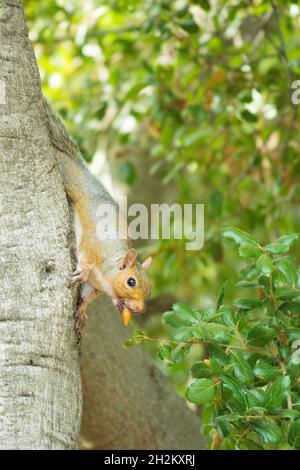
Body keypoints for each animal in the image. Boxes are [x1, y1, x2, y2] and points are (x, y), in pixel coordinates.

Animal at [44, 101, 152, 332]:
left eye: (150, 287)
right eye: (131, 282)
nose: (139, 309)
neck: (106, 276)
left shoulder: (94, 287)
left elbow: (87, 296)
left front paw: (82, 311)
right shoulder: (94, 246)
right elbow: (85, 257)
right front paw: (82, 271)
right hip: (67, 175)